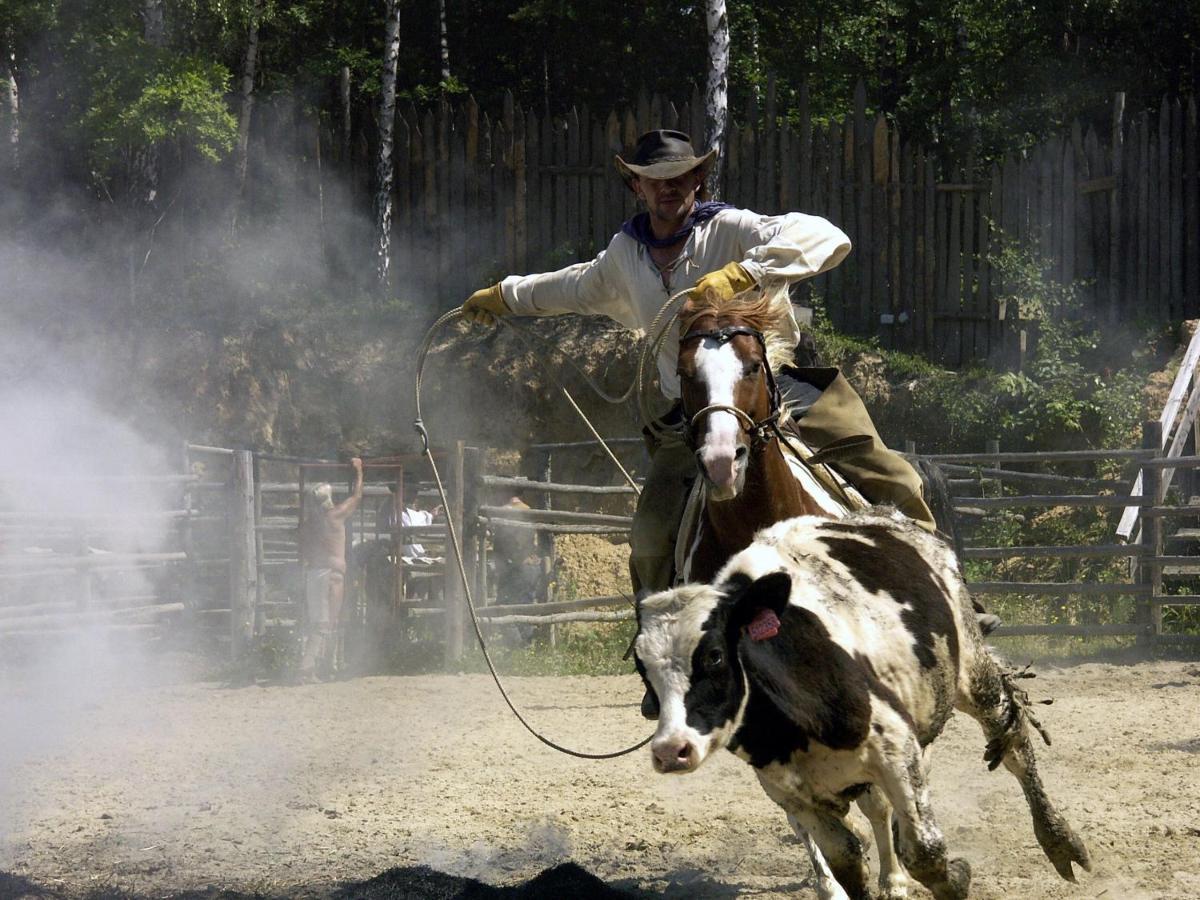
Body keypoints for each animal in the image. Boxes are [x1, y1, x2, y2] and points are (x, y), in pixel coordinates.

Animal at [633, 511, 1094, 897]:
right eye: (642, 668)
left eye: (714, 655)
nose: (670, 750)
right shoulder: (792, 793)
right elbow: (846, 860)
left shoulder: (895, 749)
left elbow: (926, 853)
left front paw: (955, 876)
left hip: (972, 672)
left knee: (1013, 740)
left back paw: (1060, 841)